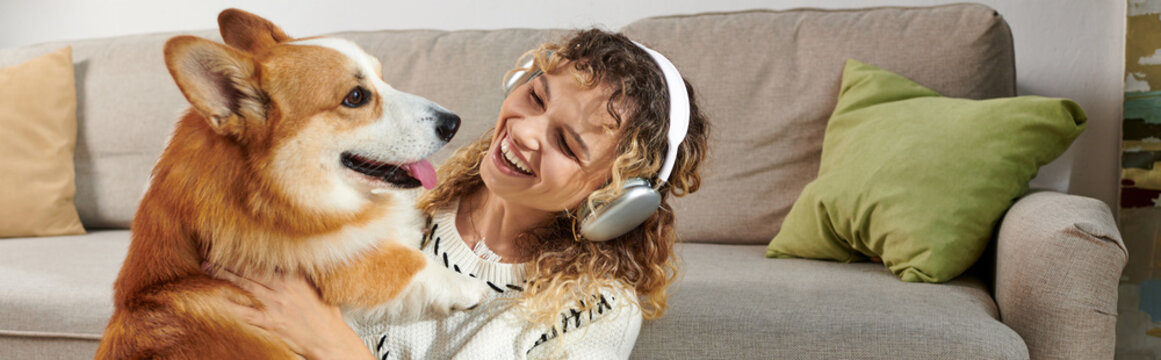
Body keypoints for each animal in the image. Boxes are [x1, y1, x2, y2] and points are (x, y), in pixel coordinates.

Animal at [92, 9, 487, 360]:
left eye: (382, 77)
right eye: (355, 97)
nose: (453, 123)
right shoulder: (323, 258)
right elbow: (405, 262)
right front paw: (470, 287)